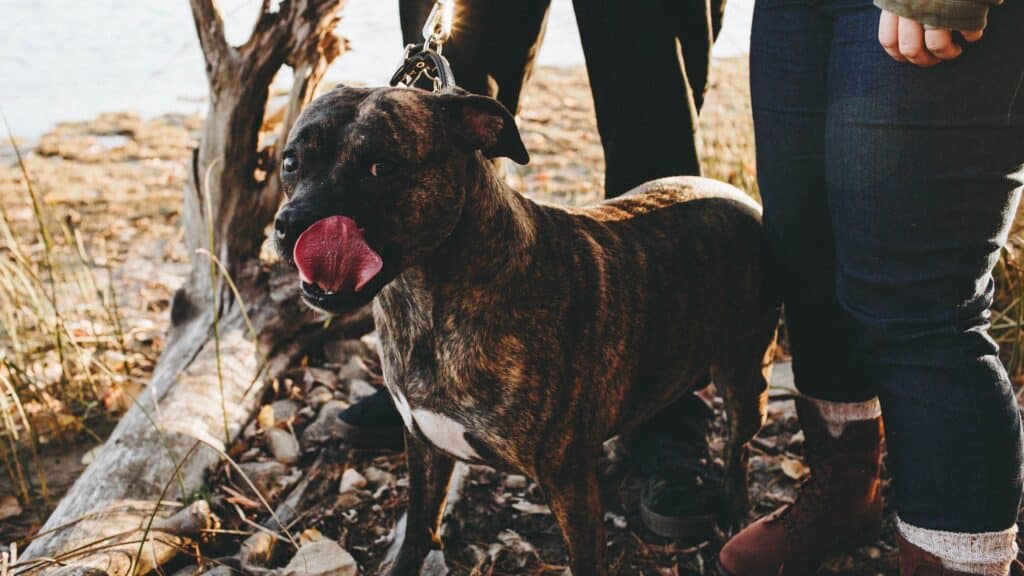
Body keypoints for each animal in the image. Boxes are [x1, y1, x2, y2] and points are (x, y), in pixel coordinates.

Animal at [272, 85, 774, 573]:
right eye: (291, 162)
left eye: (381, 167)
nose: (291, 224)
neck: (426, 300)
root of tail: (738, 195)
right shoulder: (424, 448)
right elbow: (417, 529)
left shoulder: (568, 482)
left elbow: (586, 560)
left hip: (747, 380)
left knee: (739, 449)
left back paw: (735, 511)